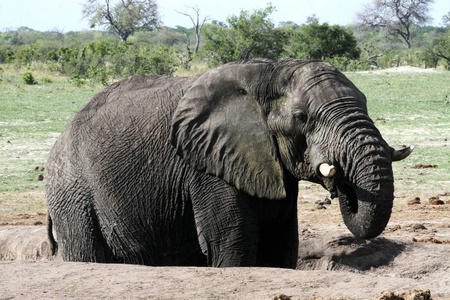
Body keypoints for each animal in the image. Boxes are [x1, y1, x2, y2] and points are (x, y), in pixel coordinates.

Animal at [45, 58, 412, 268]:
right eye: (302, 117)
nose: (340, 184)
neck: (270, 72)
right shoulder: (207, 166)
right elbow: (234, 242)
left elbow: (281, 245)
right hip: (72, 193)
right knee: (86, 253)